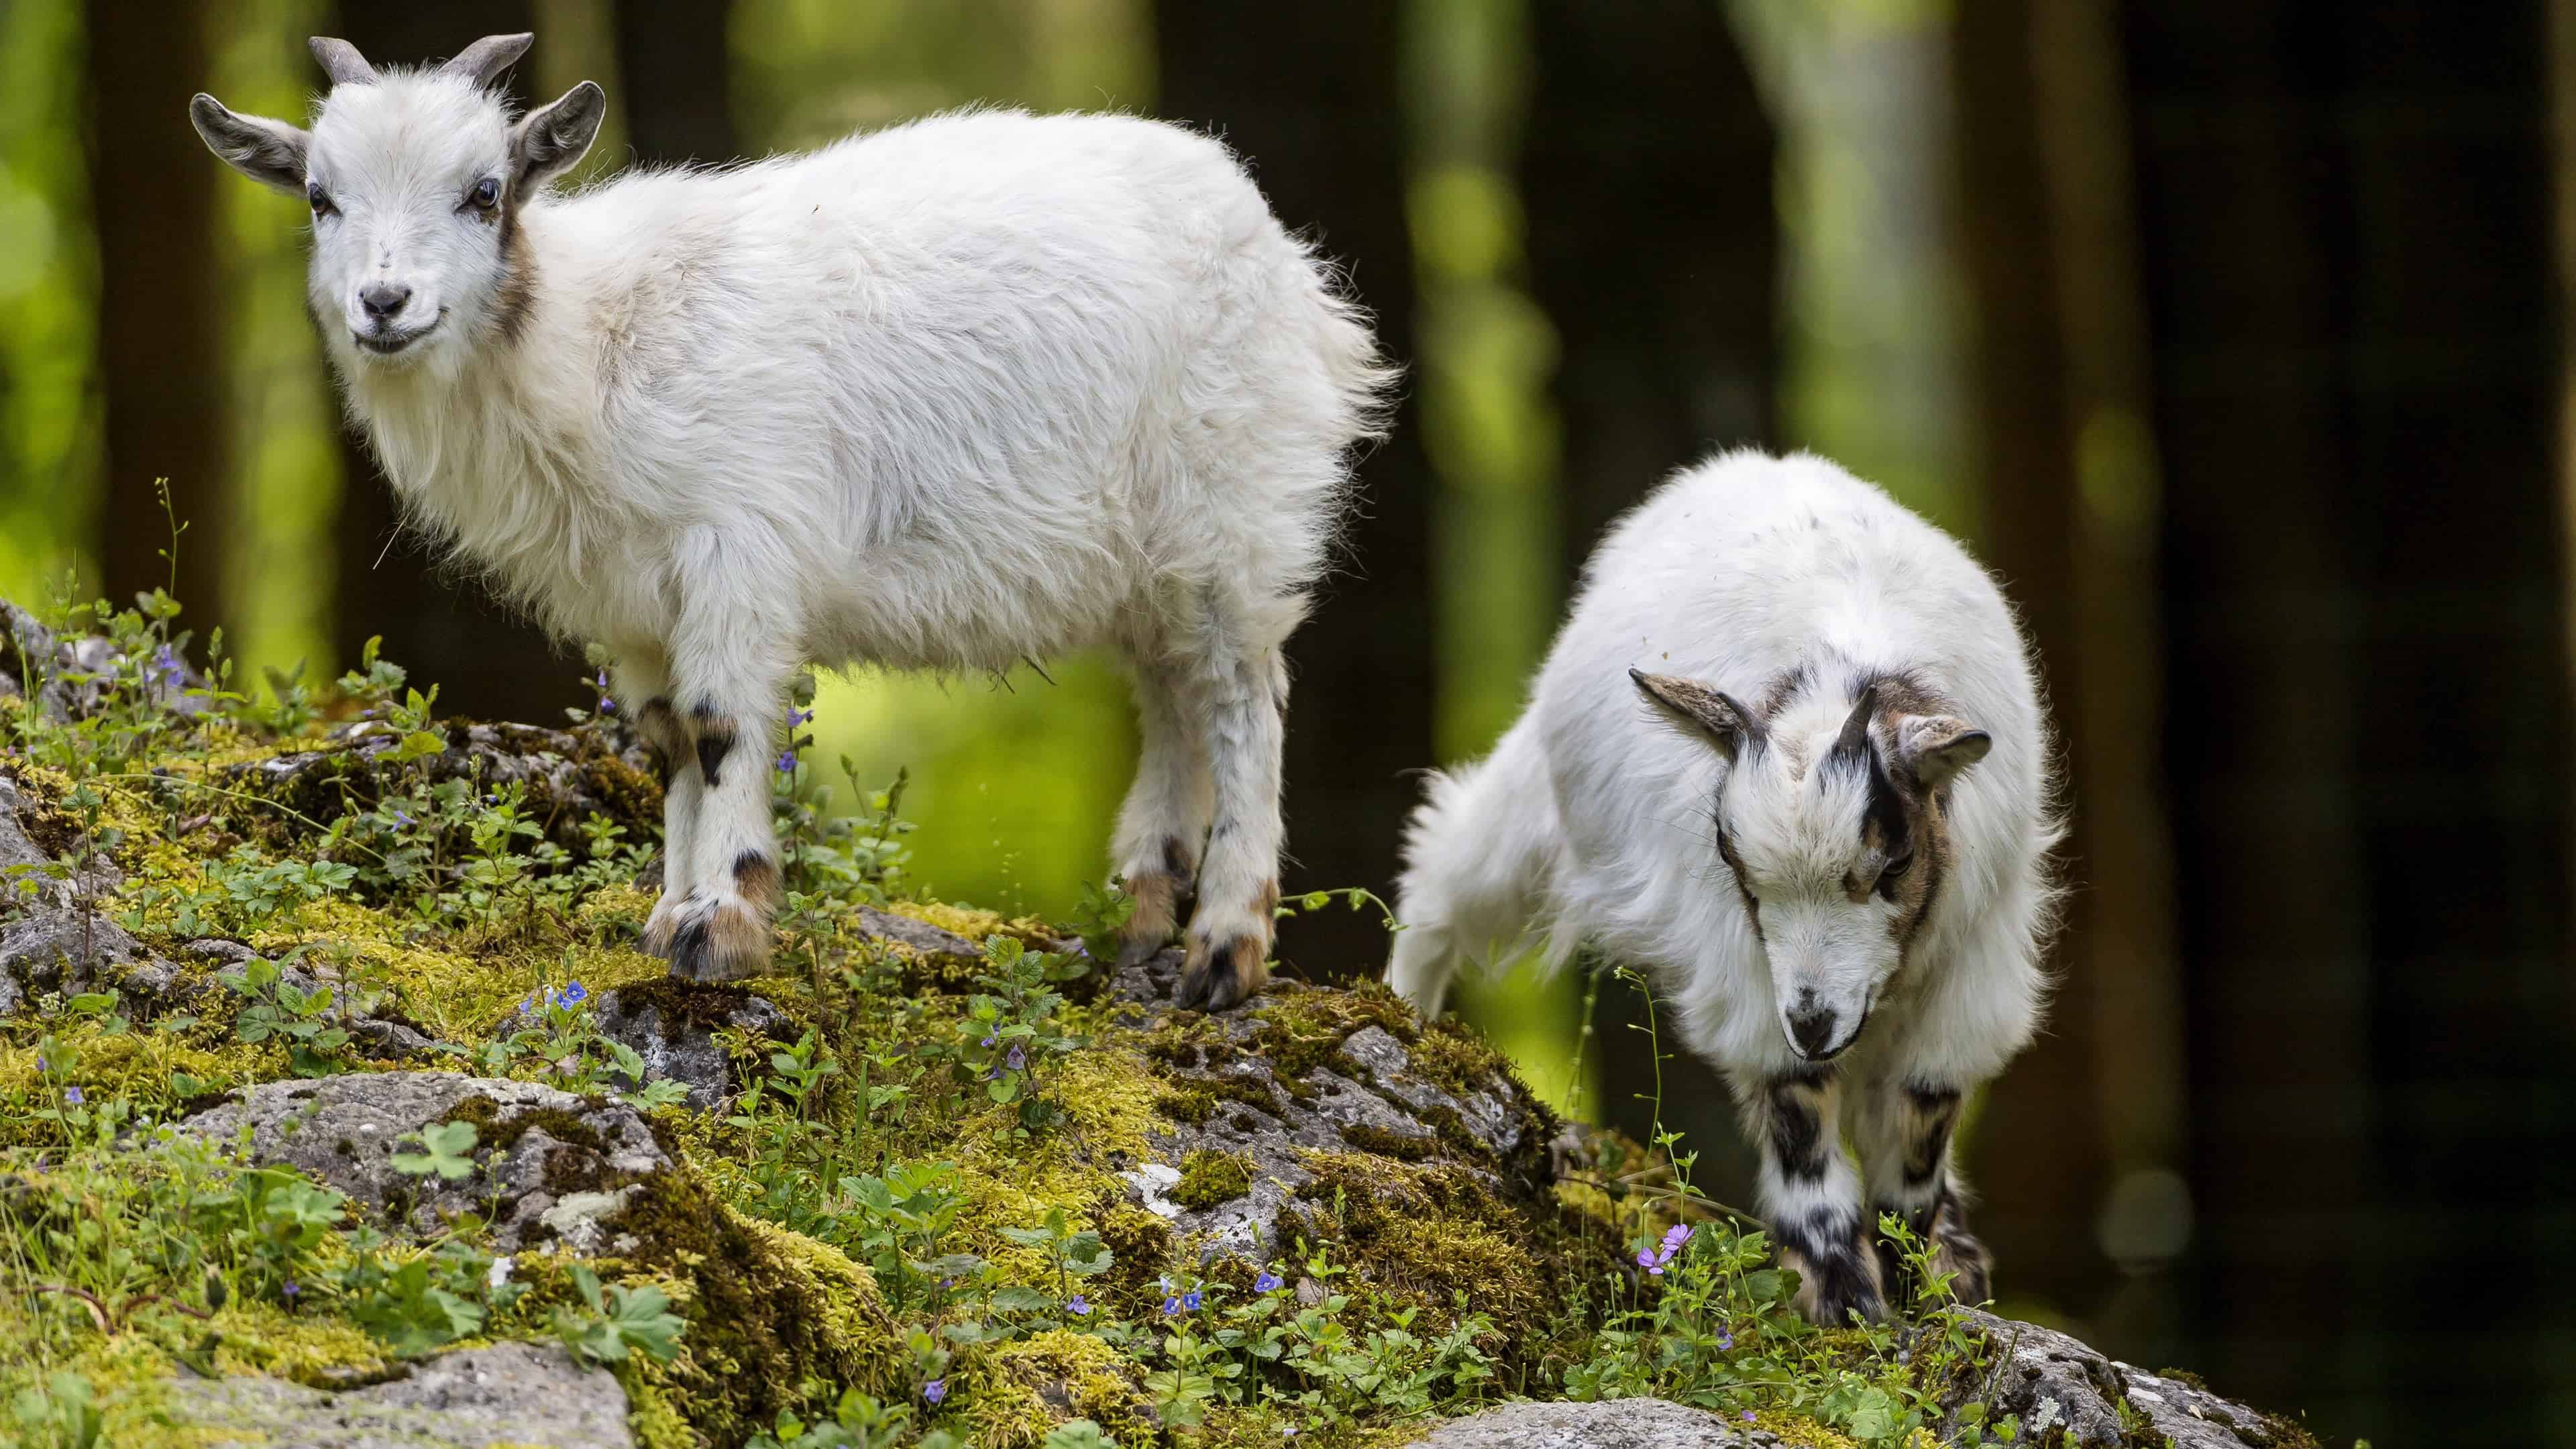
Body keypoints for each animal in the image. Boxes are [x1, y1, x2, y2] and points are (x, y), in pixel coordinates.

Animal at [190, 34, 1390, 1007]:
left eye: (485, 192)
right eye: (319, 198)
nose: (384, 305)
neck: (593, 336)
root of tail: (1287, 264)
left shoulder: (738, 547)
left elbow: (723, 727)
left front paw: (722, 927)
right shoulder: (635, 602)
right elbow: (668, 740)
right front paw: (667, 914)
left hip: (1234, 519)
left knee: (1242, 703)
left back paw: (1224, 952)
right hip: (1148, 561)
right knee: (1173, 697)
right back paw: (1141, 913)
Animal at [1385, 450, 2061, 1323]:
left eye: (1894, 863)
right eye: (1733, 859)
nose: (1814, 1022)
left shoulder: (1974, 962)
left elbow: (1921, 1123)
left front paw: (1929, 1279)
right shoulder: (1742, 961)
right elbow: (1796, 1107)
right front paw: (1842, 1293)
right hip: (1538, 808)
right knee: (1445, 868)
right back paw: (1405, 1013)